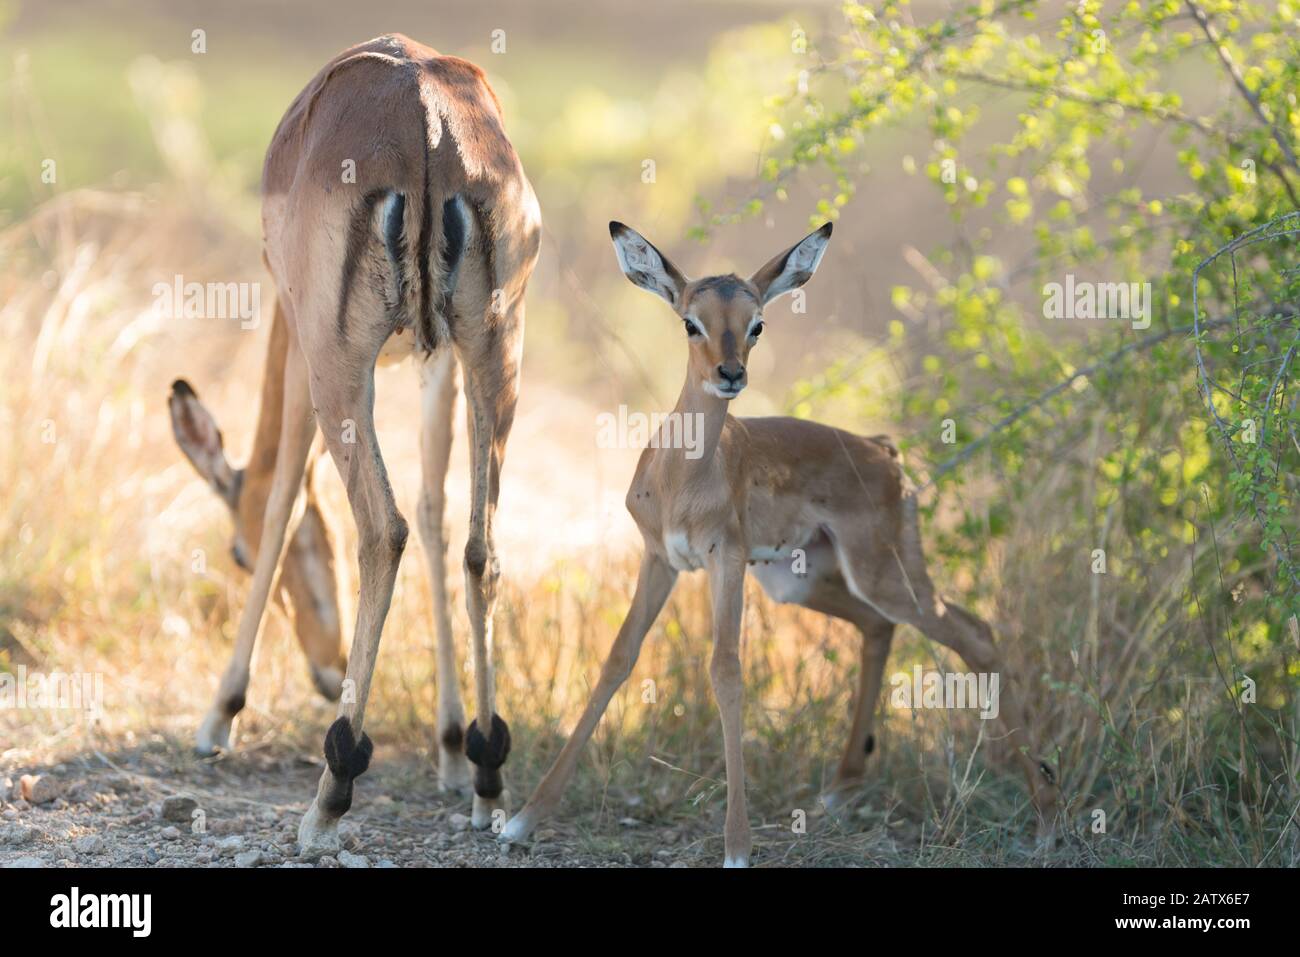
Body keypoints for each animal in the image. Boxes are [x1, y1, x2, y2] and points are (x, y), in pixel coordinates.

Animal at [501, 221, 1060, 863]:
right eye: (690, 321)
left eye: (757, 323)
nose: (730, 373)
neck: (683, 476)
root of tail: (884, 452)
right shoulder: (661, 559)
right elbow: (618, 658)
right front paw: (522, 818)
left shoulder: (725, 560)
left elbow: (725, 670)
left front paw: (737, 846)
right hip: (801, 580)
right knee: (880, 628)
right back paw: (840, 790)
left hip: (882, 573)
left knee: (977, 634)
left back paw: (1046, 819)